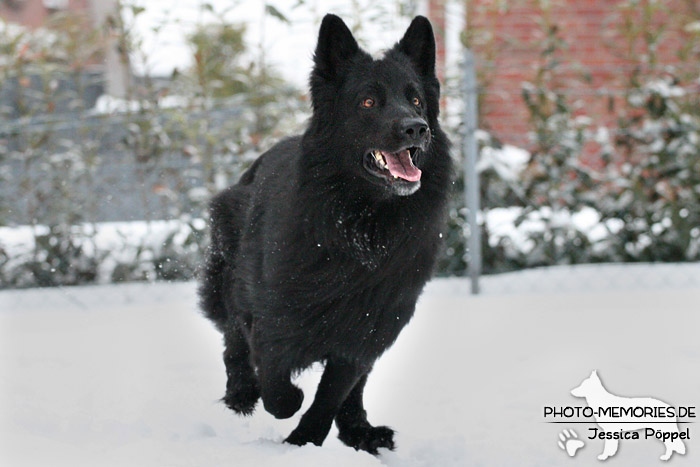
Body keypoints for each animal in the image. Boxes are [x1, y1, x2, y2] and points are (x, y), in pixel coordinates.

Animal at [200, 14, 452, 454]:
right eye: (368, 102)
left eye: (416, 100)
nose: (416, 129)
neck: (360, 224)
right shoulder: (273, 316)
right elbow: (277, 385)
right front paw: (288, 415)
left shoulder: (367, 328)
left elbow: (333, 393)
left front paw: (304, 442)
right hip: (231, 275)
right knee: (233, 336)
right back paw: (241, 393)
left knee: (354, 389)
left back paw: (359, 429)